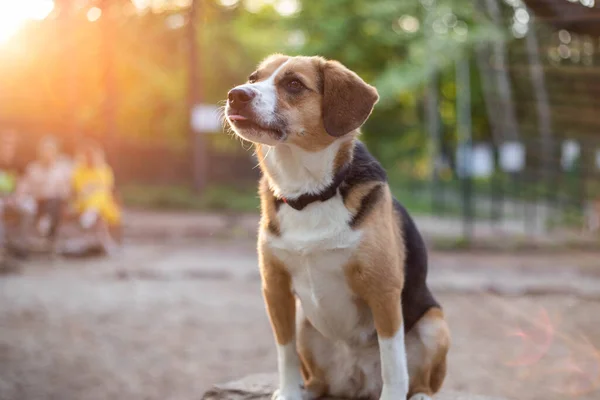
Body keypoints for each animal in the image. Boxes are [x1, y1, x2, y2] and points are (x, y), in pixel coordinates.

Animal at [226, 54, 450, 400]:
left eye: (294, 84)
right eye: (253, 79)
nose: (236, 94)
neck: (309, 193)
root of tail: (357, 383)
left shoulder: (383, 290)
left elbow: (393, 360)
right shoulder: (275, 286)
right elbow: (285, 352)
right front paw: (288, 391)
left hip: (435, 324)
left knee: (421, 380)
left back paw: (422, 395)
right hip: (305, 325)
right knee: (317, 381)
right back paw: (307, 390)